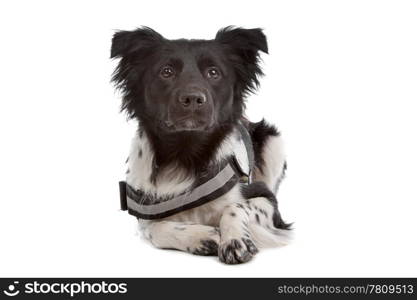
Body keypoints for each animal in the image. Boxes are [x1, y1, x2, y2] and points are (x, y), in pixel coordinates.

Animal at [112, 26, 290, 264]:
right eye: (166, 72)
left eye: (213, 72)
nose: (193, 99)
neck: (185, 154)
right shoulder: (145, 208)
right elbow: (154, 228)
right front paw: (202, 237)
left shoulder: (266, 198)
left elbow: (234, 206)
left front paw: (235, 240)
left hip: (273, 142)